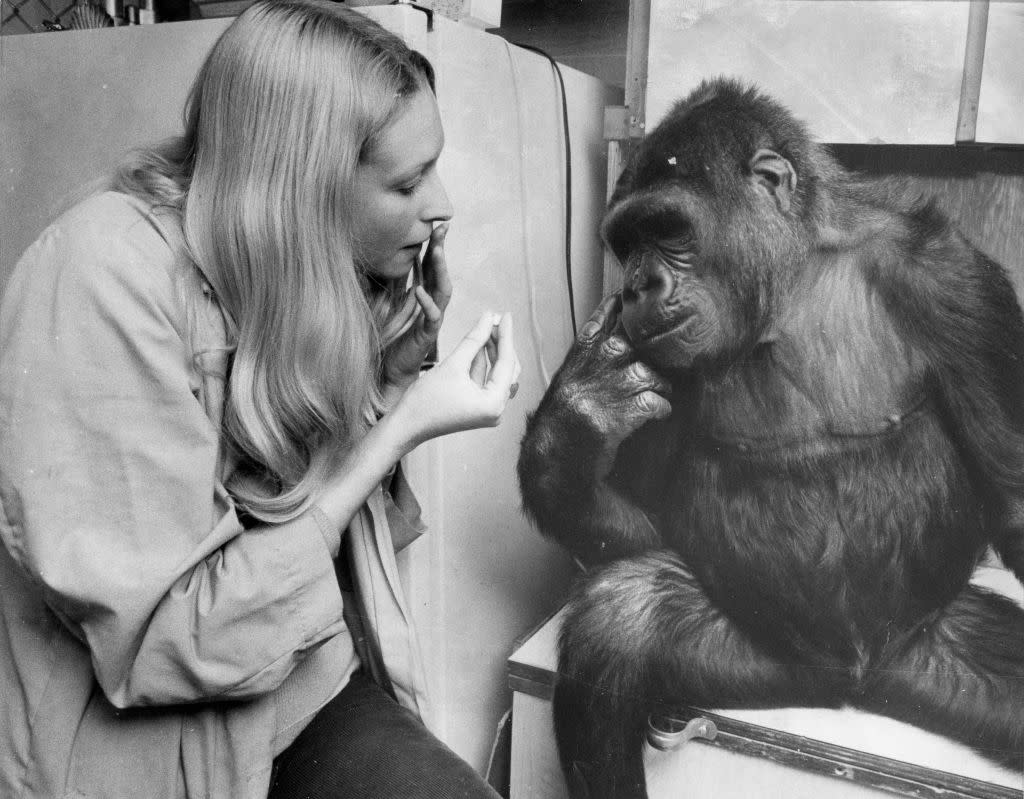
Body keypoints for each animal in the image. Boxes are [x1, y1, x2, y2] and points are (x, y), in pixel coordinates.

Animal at [520, 76, 1024, 799]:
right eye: (625, 242)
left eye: (667, 229)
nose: (638, 286)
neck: (792, 281)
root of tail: (856, 684)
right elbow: (636, 526)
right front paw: (575, 420)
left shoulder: (957, 284)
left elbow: (1013, 496)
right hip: (760, 658)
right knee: (620, 619)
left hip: (925, 643)